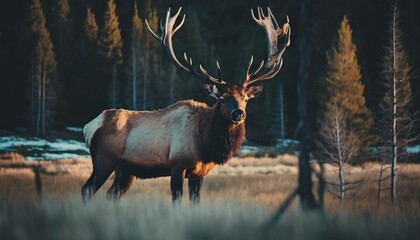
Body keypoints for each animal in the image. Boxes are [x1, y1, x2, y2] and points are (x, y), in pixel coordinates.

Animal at [82, 6, 292, 203]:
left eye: (246, 99)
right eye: (222, 99)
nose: (238, 113)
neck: (206, 144)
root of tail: (89, 126)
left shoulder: (199, 173)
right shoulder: (177, 165)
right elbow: (177, 200)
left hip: (125, 170)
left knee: (112, 194)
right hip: (104, 160)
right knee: (87, 189)